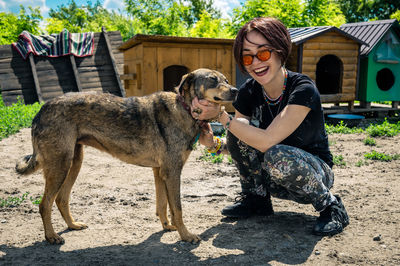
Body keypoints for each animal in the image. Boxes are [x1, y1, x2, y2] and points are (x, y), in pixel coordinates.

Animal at [15, 69, 238, 245]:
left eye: (226, 79)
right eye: (212, 80)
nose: (236, 90)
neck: (184, 109)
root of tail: (41, 110)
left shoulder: (160, 172)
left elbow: (163, 205)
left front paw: (167, 226)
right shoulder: (172, 172)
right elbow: (178, 208)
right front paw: (186, 236)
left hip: (74, 162)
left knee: (61, 199)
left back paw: (72, 225)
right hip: (60, 166)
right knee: (45, 204)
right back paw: (51, 236)